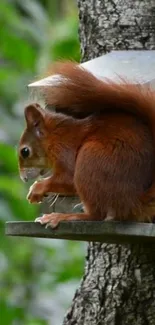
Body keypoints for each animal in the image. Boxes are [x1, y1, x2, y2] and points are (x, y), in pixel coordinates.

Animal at [17, 62, 155, 227]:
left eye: (25, 151)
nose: (23, 178)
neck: (55, 137)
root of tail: (133, 202)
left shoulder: (65, 150)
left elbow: (68, 179)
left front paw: (37, 188)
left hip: (90, 159)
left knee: (96, 215)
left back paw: (63, 216)